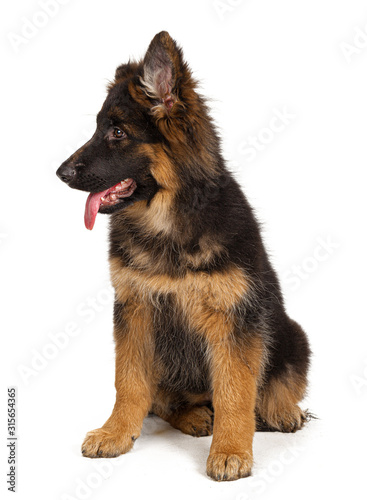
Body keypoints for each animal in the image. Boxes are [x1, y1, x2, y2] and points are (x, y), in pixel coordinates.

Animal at [56, 30, 312, 480]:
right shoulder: (134, 309)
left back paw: (282, 411)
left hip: (293, 335)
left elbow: (235, 391)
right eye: (99, 128)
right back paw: (194, 416)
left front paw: (230, 449)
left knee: (275, 386)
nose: (60, 173)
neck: (168, 221)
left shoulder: (233, 318)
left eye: (117, 132)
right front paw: (116, 432)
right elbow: (129, 382)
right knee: (166, 400)